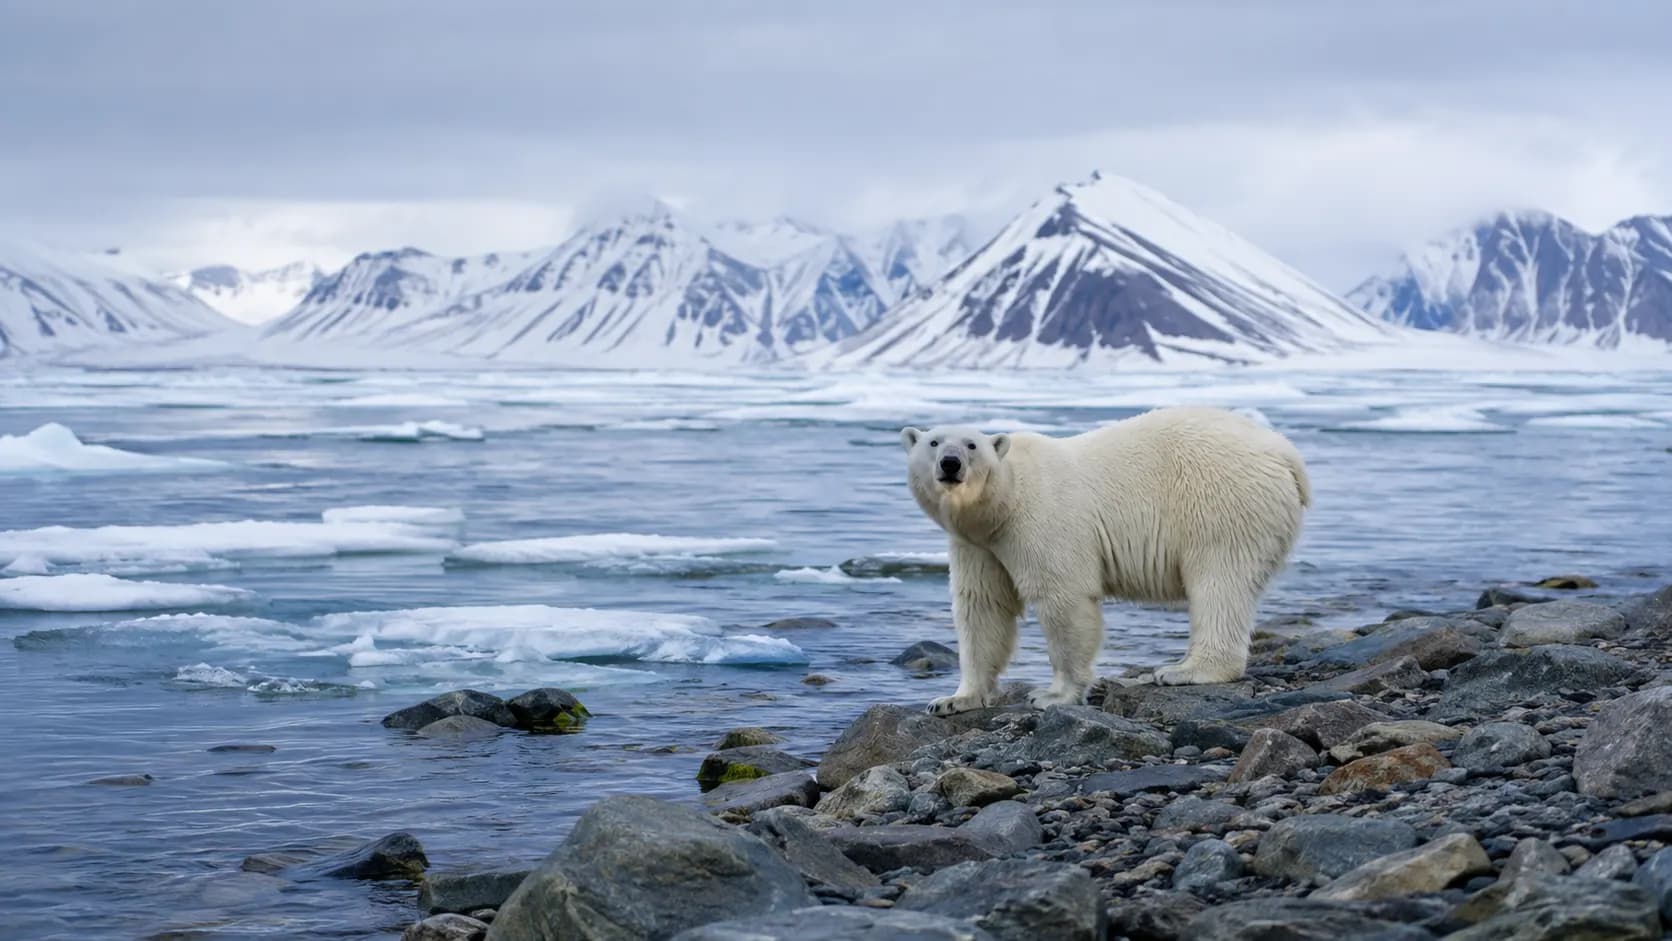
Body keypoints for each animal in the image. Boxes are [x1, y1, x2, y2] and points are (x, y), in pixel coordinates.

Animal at [900, 406, 1311, 715]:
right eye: (934, 442)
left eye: (971, 445)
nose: (950, 463)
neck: (1006, 500)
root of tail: (1286, 452)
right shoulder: (977, 544)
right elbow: (982, 606)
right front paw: (953, 699)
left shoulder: (1042, 520)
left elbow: (1063, 599)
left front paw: (1053, 695)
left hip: (1219, 501)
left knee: (1218, 582)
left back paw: (1186, 671)